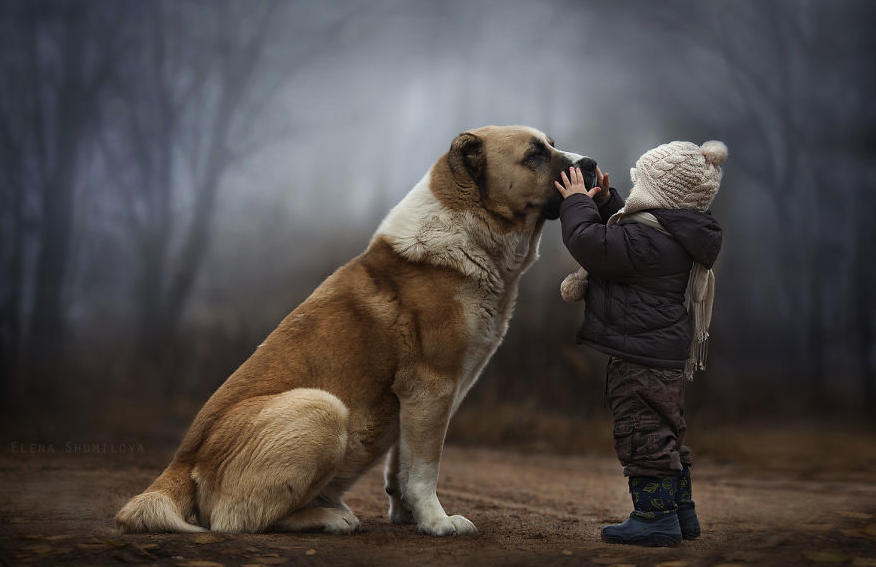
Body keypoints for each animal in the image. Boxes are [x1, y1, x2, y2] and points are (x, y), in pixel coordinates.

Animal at [116, 124, 596, 536]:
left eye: (552, 144)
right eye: (534, 154)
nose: (590, 164)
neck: (469, 230)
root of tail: (180, 463)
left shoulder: (417, 400)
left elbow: (402, 465)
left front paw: (408, 516)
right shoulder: (432, 387)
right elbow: (425, 468)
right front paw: (438, 523)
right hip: (323, 408)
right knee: (237, 519)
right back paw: (331, 517)